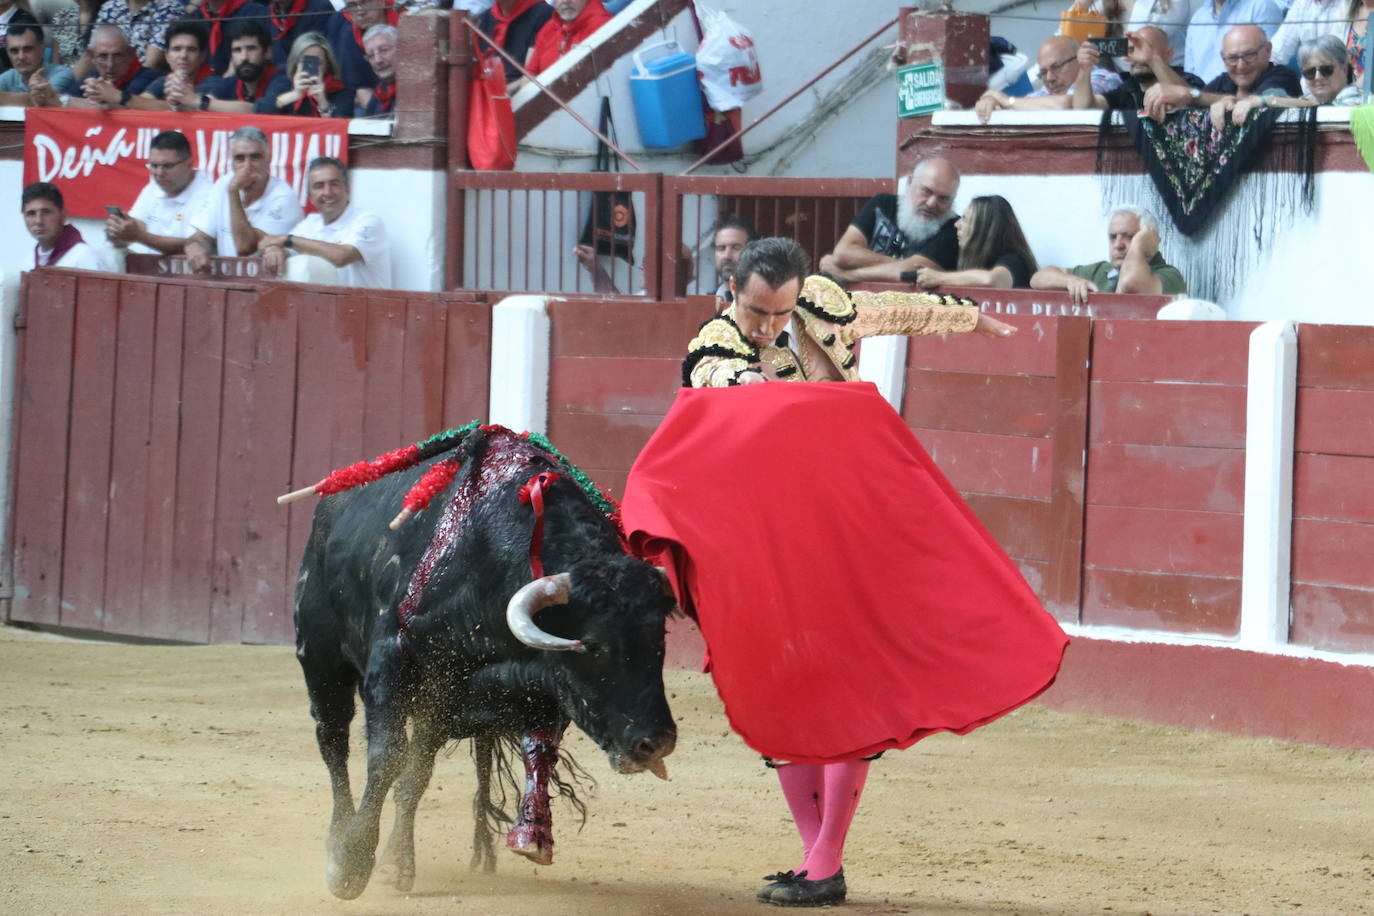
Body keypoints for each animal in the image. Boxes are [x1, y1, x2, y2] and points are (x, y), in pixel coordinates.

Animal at [294, 425, 676, 900]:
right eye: (591, 645)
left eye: (659, 639)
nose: (655, 742)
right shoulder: (390, 664)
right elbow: (386, 758)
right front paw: (351, 863)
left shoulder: (520, 689)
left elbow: (525, 752)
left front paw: (530, 836)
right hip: (321, 659)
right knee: (334, 742)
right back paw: (338, 837)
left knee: (416, 768)